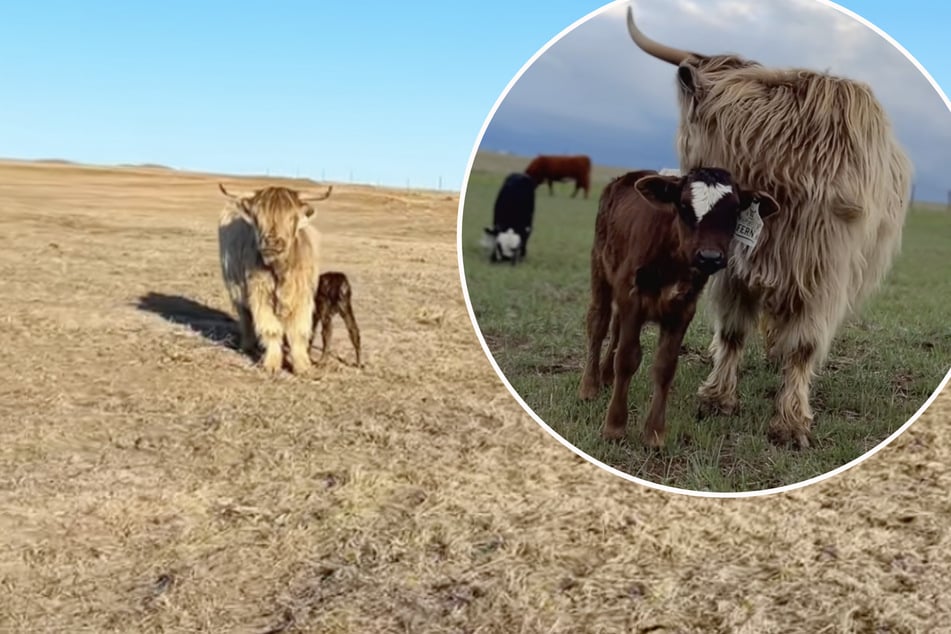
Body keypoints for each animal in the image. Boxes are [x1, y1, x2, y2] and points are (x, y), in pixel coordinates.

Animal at [217, 182, 333, 375]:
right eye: (258, 216)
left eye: (291, 217)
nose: (271, 242)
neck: (280, 269)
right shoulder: (260, 293)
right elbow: (271, 329)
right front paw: (272, 364)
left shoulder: (302, 296)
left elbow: (298, 331)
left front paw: (302, 365)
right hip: (236, 289)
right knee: (245, 316)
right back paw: (247, 345)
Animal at [578, 168, 780, 448]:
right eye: (684, 206)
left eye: (734, 210)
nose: (709, 257)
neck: (672, 258)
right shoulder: (633, 299)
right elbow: (627, 359)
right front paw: (615, 426)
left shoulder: (682, 310)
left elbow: (665, 366)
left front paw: (654, 432)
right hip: (600, 269)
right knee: (598, 323)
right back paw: (589, 386)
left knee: (615, 327)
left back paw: (607, 376)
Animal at [624, 5, 913, 448]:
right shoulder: (736, 264)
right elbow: (732, 331)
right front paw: (717, 398)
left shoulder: (824, 272)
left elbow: (805, 345)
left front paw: (790, 423)